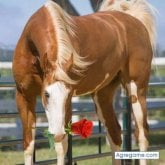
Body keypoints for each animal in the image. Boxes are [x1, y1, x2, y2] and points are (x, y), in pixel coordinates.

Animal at [12, 0, 155, 164]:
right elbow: (28, 144)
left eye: (67, 96)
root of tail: (135, 21)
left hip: (137, 90)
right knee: (115, 133)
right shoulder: (24, 96)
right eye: (46, 94)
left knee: (142, 134)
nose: (57, 132)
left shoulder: (67, 103)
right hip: (102, 95)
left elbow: (61, 146)